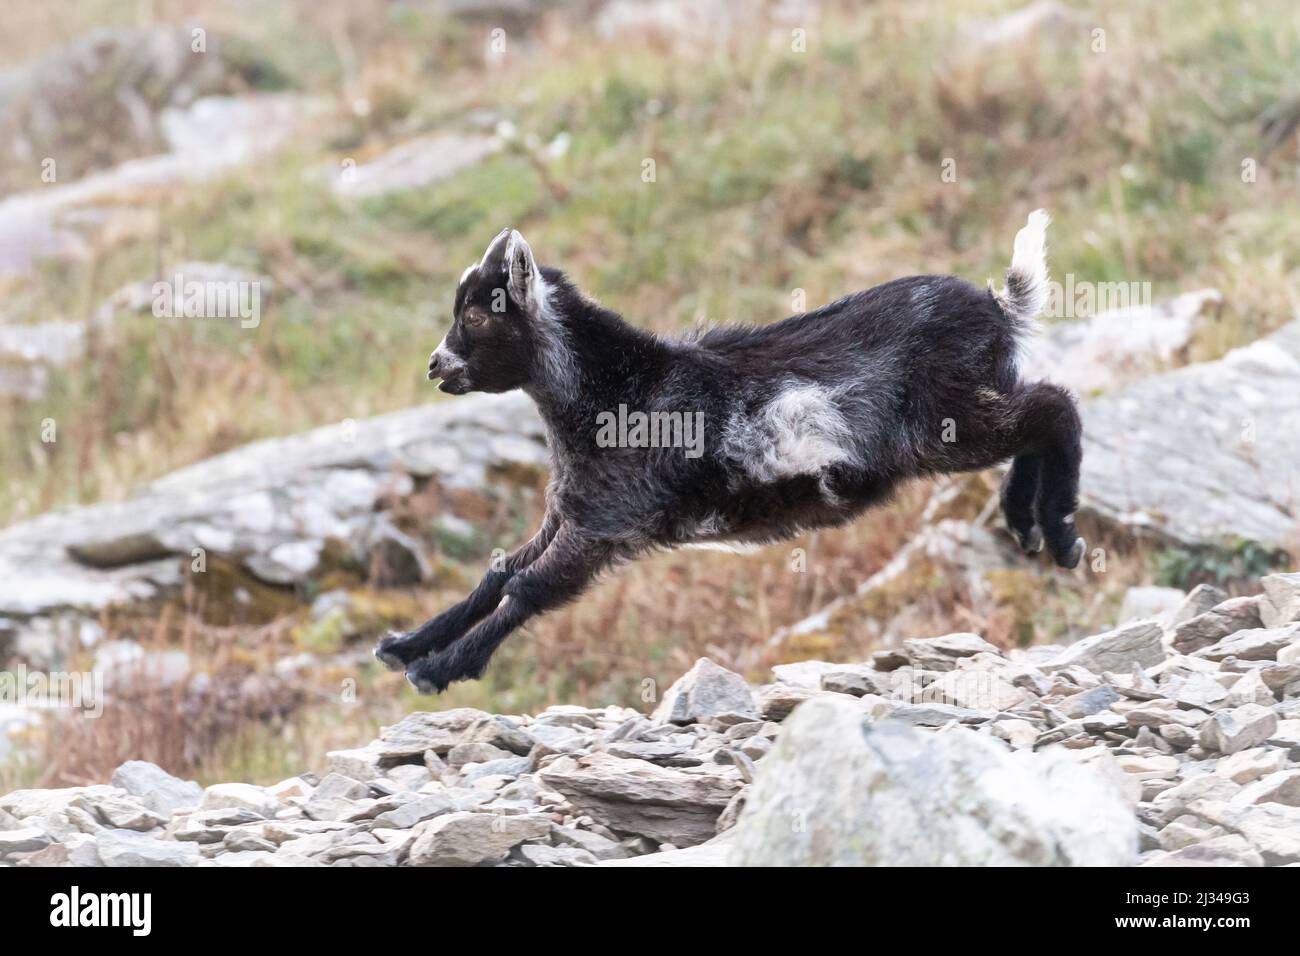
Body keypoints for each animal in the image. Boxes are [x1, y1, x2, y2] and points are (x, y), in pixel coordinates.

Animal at [375, 211, 1083, 693]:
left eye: (477, 314)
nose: (436, 366)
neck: (618, 389)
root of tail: (997, 307)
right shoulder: (571, 510)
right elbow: (497, 573)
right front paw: (406, 645)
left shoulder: (605, 522)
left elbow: (528, 587)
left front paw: (441, 669)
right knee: (1037, 418)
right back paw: (1024, 523)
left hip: (946, 422)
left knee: (1055, 407)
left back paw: (1060, 534)